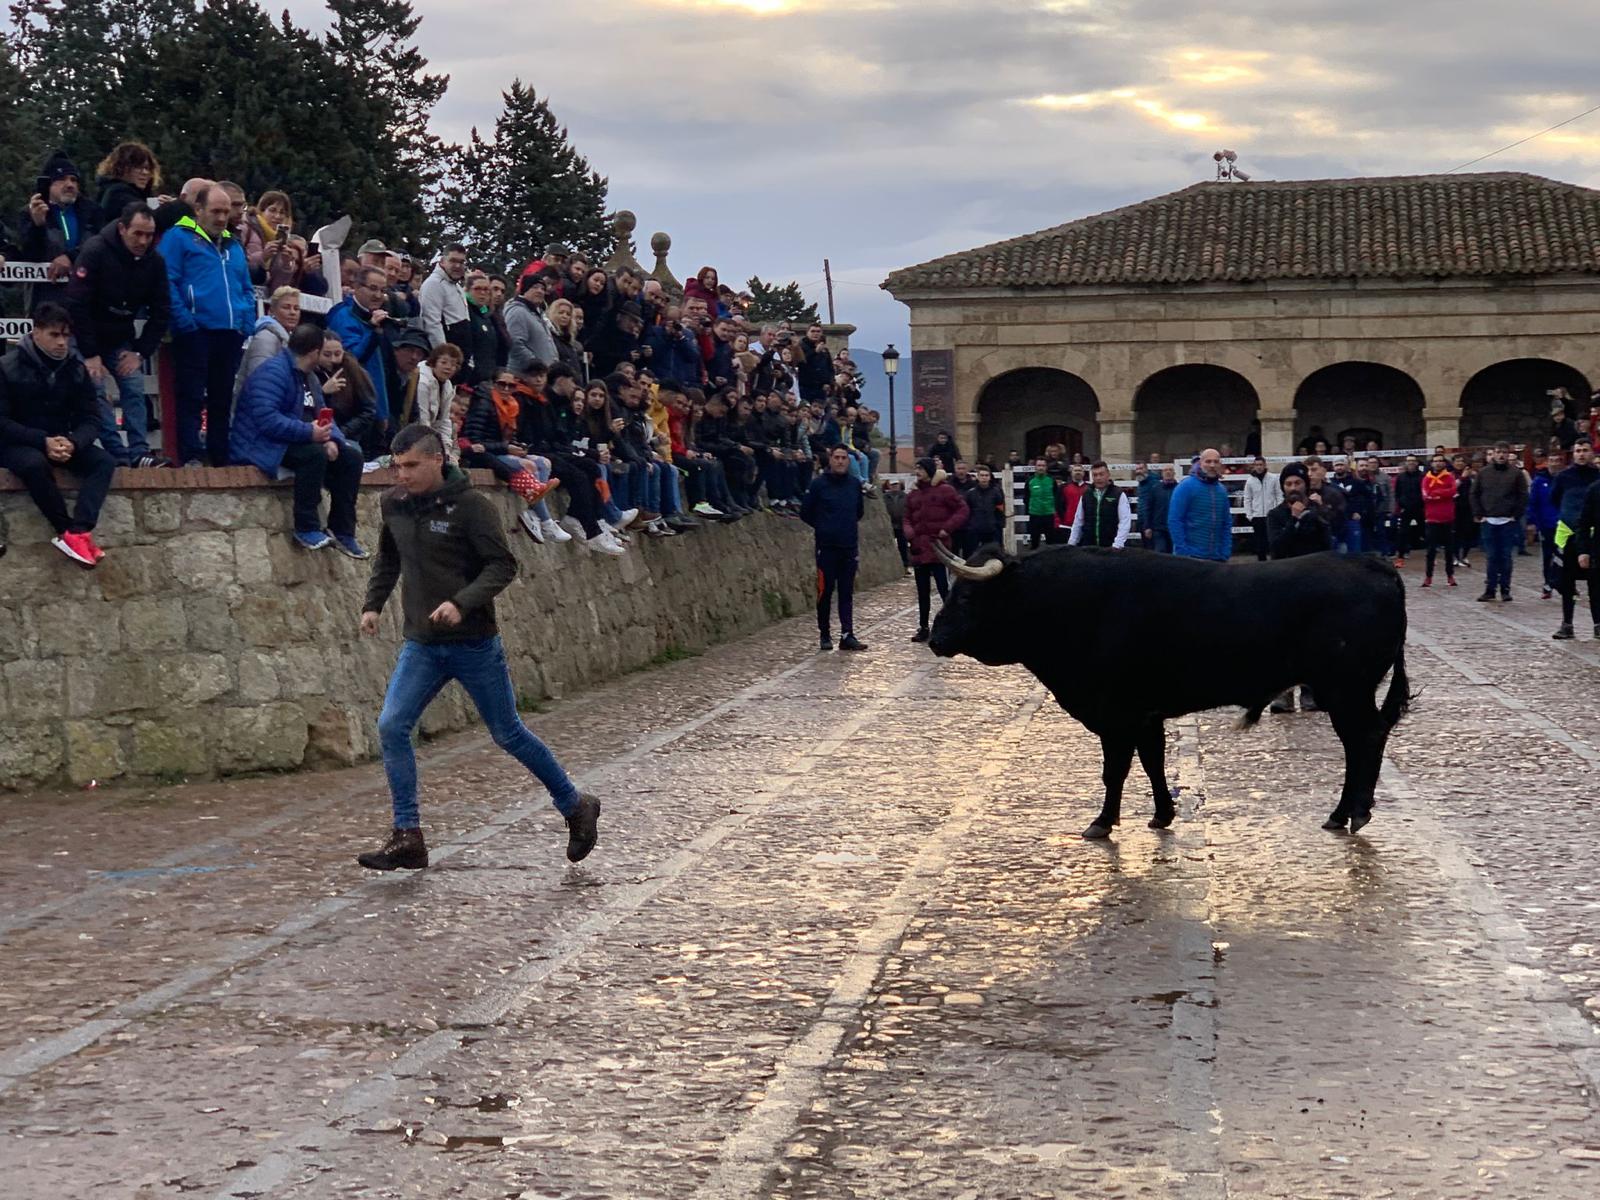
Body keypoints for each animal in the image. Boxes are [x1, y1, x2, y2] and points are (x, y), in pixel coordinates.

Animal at [928, 544, 1414, 838]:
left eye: (967, 597)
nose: (934, 638)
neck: (1072, 602)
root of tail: (1372, 565)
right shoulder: (1146, 714)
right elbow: (1153, 764)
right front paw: (1162, 814)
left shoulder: (1117, 714)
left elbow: (1116, 771)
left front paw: (1102, 822)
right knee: (1365, 741)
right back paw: (1345, 814)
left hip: (1347, 691)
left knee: (1365, 741)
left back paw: (1351, 812)